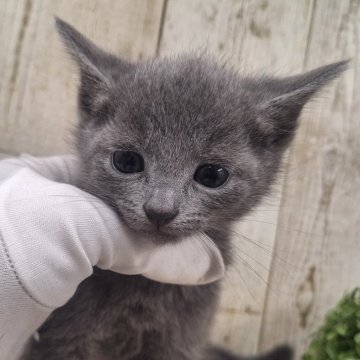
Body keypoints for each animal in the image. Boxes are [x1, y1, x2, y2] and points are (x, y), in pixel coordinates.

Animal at [24, 19, 346, 360]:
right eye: (126, 161)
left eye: (213, 175)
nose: (160, 209)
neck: (143, 288)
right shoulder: (61, 337)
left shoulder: (182, 341)